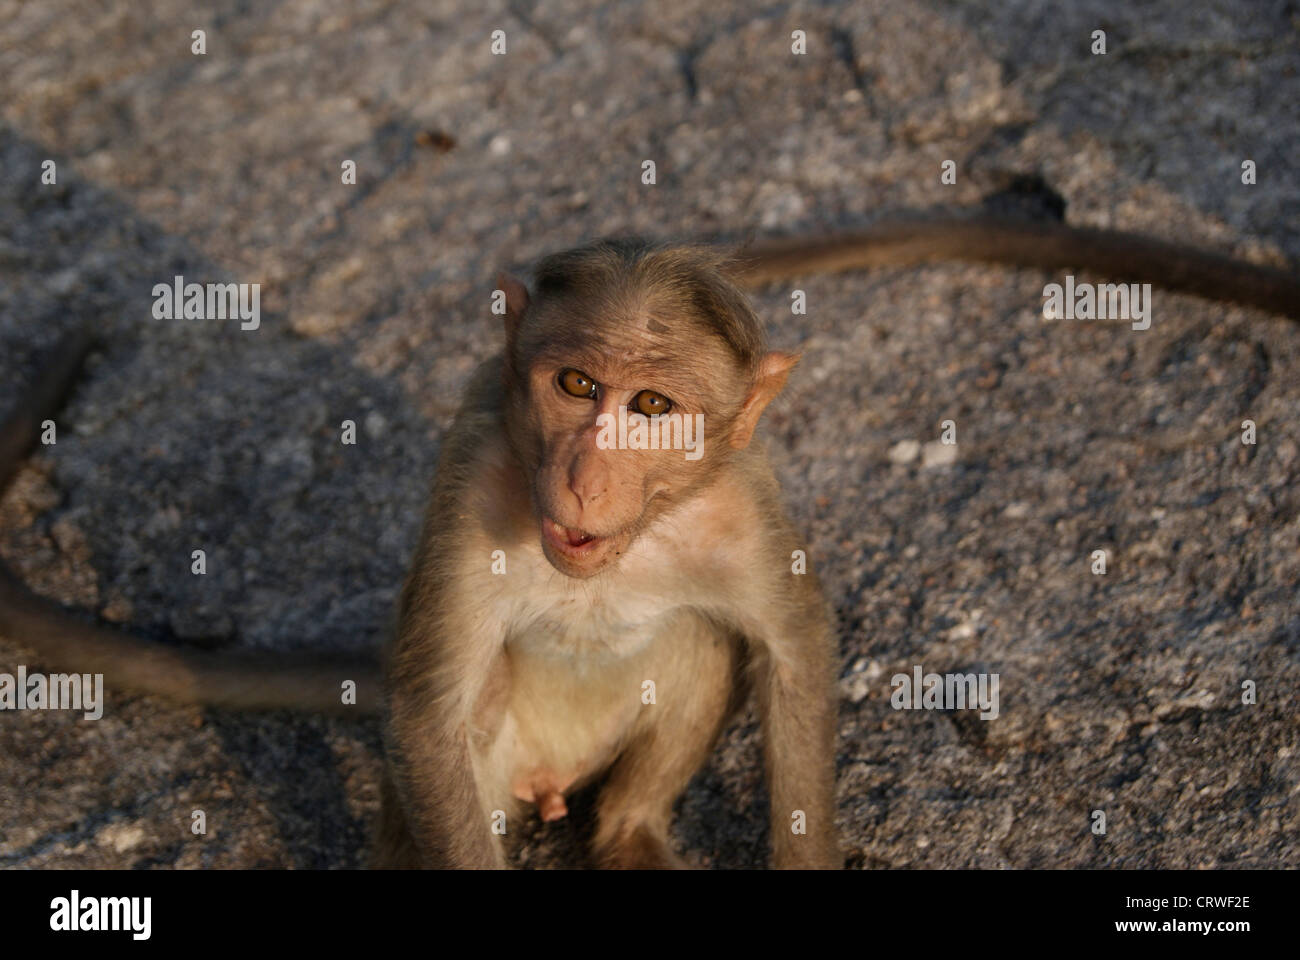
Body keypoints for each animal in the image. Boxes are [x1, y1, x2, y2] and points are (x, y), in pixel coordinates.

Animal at [0, 210, 1294, 868]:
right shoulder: (474, 476)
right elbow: (430, 700)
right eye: (577, 384)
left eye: (654, 407)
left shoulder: (741, 507)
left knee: (694, 643)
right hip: (471, 782)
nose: (586, 469)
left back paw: (625, 834)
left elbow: (790, 646)